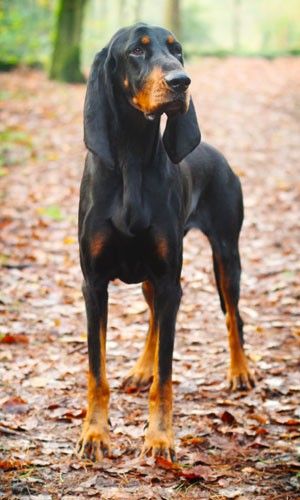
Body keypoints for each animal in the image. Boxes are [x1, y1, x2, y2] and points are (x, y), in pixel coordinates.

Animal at [77, 22, 253, 460]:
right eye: (136, 52)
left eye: (178, 51)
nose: (181, 81)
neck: (132, 159)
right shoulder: (94, 284)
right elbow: (96, 371)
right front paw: (95, 434)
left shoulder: (169, 277)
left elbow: (167, 374)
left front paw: (159, 438)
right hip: (149, 279)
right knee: (156, 316)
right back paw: (141, 368)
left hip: (225, 254)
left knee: (232, 314)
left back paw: (240, 371)